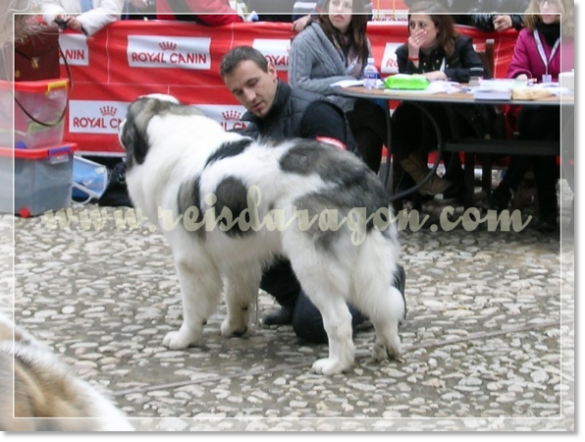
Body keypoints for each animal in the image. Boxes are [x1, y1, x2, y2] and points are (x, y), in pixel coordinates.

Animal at [117, 95, 404, 374]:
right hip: (368, 263)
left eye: (128, 116)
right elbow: (237, 296)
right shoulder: (239, 257)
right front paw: (235, 327)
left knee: (339, 318)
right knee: (384, 301)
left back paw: (335, 364)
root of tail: (359, 177)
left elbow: (193, 306)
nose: (118, 125)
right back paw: (386, 347)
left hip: (313, 265)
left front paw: (184, 338)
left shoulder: (190, 261)